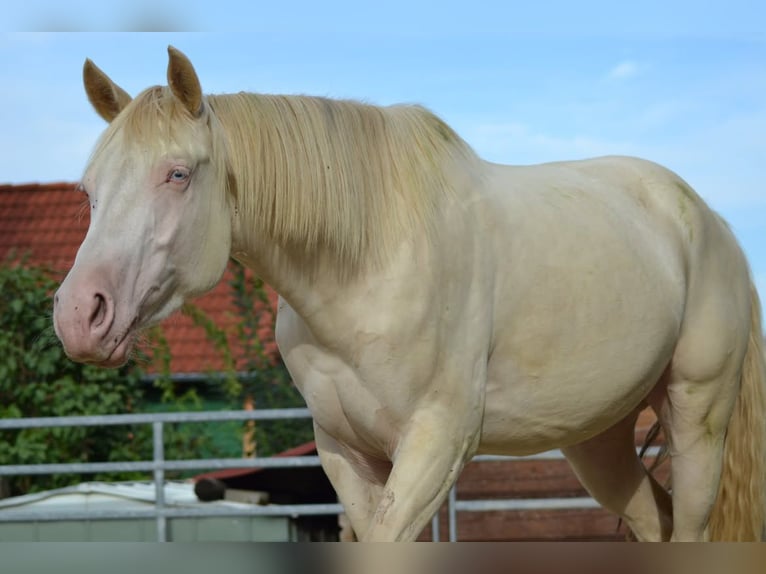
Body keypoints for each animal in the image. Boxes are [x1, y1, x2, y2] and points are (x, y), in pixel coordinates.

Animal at [53, 46, 766, 541]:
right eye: (88, 189)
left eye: (177, 174)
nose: (80, 316)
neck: (365, 265)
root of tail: (708, 221)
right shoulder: (344, 453)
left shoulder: (437, 444)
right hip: (597, 437)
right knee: (652, 521)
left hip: (697, 417)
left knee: (690, 527)